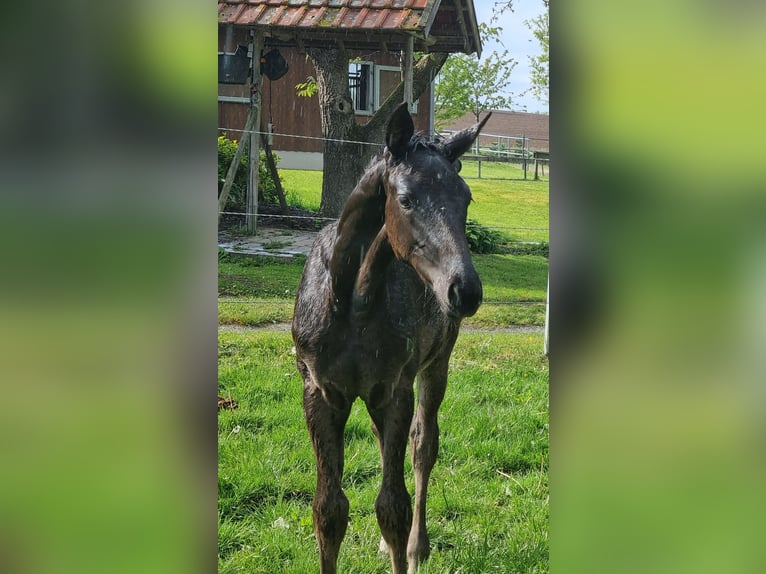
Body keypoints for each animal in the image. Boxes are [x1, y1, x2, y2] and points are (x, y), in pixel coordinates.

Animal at [294, 103, 492, 574]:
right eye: (406, 199)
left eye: (466, 199)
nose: (465, 290)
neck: (352, 302)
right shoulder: (320, 391)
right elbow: (328, 509)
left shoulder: (394, 388)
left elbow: (392, 506)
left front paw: (405, 546)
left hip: (436, 365)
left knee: (423, 446)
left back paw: (418, 546)